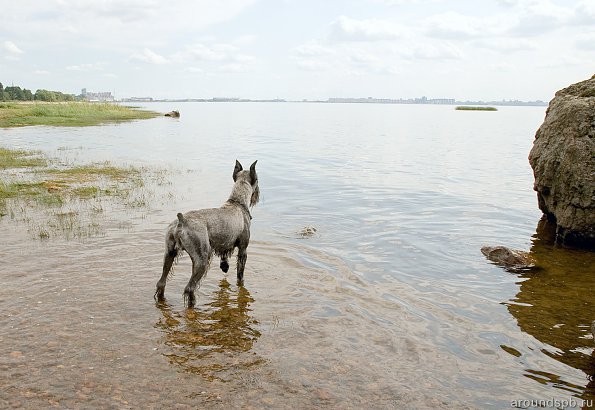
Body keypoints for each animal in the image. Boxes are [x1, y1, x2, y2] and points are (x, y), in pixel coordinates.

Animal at [157, 160, 260, 304]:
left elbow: (224, 257)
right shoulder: (243, 250)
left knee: (161, 282)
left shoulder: (224, 245)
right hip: (202, 259)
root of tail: (181, 222)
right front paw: (241, 284)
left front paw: (225, 267)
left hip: (170, 253)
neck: (237, 202)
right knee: (189, 288)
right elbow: (240, 273)